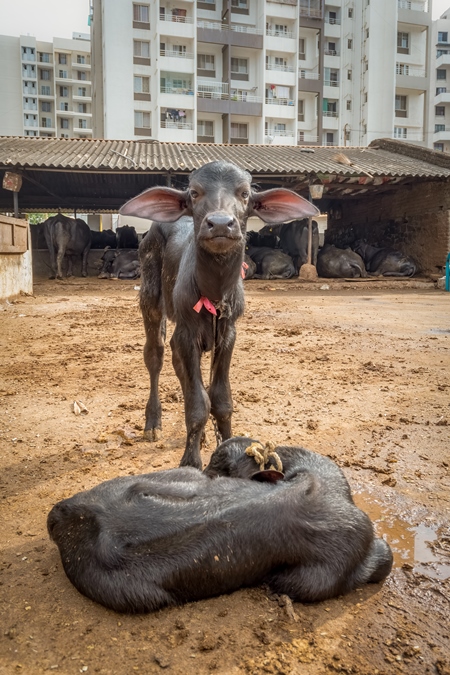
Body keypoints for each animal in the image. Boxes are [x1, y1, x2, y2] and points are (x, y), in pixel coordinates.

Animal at [118, 159, 318, 470]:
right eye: (195, 192)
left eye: (245, 193)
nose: (221, 223)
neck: (213, 292)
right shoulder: (187, 332)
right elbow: (198, 403)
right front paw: (190, 461)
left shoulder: (227, 333)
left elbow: (221, 400)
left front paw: (226, 447)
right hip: (150, 296)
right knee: (156, 355)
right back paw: (152, 423)